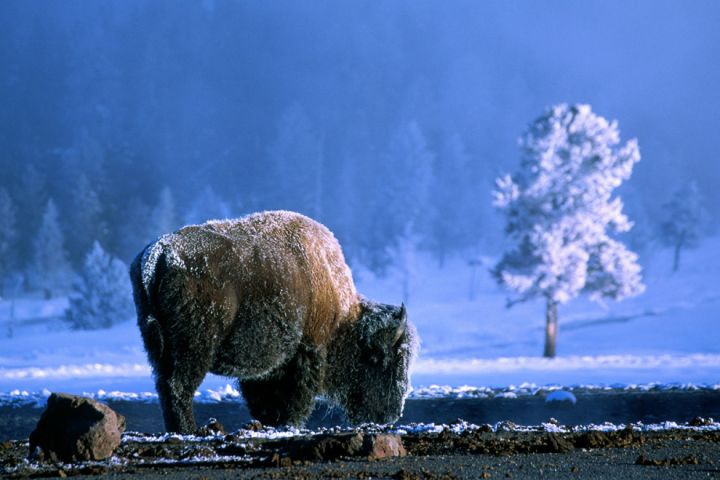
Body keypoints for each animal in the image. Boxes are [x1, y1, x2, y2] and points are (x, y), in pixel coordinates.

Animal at [129, 210, 416, 432]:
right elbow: (295, 398)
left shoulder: (264, 369)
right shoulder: (306, 352)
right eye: (381, 360)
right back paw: (190, 429)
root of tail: (159, 254)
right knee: (178, 387)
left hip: (159, 346)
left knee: (165, 386)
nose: (391, 414)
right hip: (194, 347)